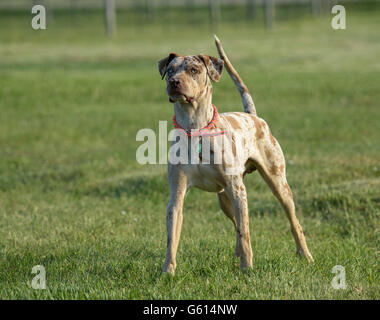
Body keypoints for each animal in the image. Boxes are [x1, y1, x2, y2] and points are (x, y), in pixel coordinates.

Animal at [159, 35, 314, 276]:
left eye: (194, 70)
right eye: (170, 70)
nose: (174, 83)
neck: (196, 128)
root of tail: (253, 116)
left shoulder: (238, 191)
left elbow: (246, 233)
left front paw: (247, 268)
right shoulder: (176, 195)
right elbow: (171, 239)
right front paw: (168, 272)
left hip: (277, 185)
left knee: (291, 222)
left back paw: (305, 254)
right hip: (225, 200)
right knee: (235, 226)